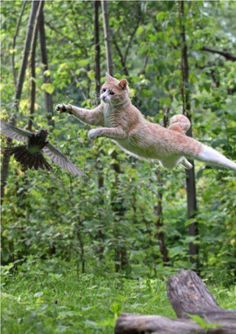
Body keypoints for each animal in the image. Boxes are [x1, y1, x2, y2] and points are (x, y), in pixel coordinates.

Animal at [56, 74, 236, 171]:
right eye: (103, 89)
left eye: (111, 92)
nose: (103, 96)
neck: (111, 107)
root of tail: (175, 131)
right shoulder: (94, 116)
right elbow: (81, 113)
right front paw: (64, 107)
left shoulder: (121, 131)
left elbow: (104, 129)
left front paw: (93, 133)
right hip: (168, 163)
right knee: (183, 161)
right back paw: (188, 166)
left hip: (201, 151)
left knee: (221, 160)